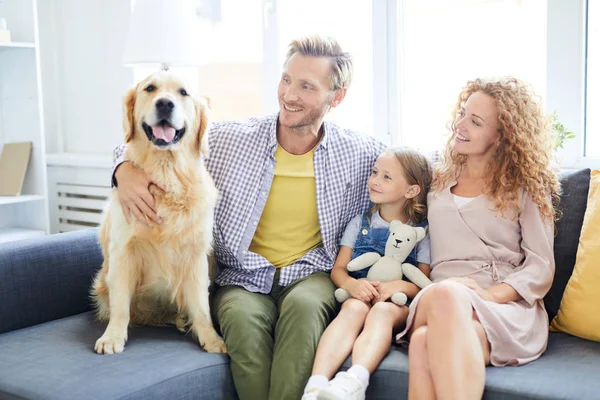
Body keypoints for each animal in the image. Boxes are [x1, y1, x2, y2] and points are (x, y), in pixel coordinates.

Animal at [91, 70, 225, 354]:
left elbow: (201, 307)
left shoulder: (195, 256)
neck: (166, 173)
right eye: (150, 88)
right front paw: (112, 337)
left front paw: (211, 338)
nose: (165, 104)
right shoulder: (123, 251)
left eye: (183, 92)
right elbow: (121, 306)